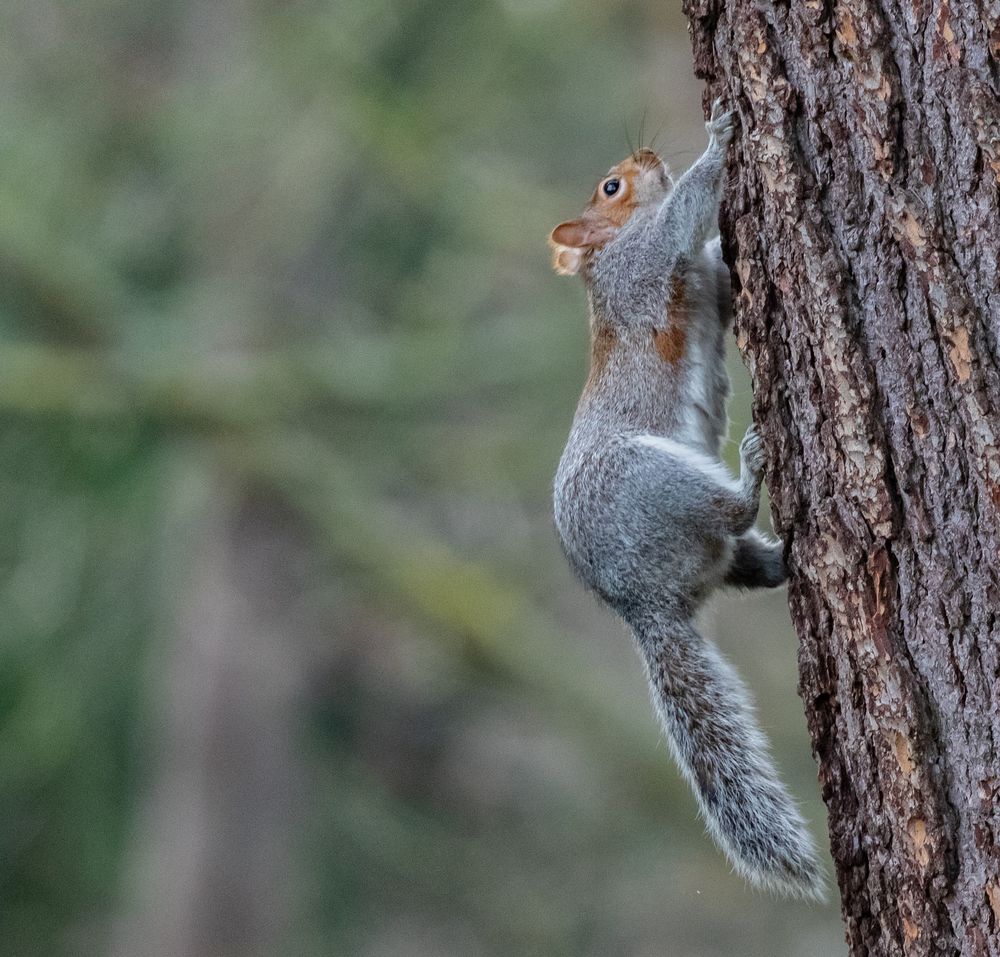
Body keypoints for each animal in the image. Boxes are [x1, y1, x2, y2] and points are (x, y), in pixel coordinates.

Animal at [548, 101, 824, 899]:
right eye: (611, 187)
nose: (645, 156)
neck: (607, 258)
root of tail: (639, 604)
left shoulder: (707, 281)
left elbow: (724, 277)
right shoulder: (648, 260)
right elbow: (681, 216)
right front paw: (722, 137)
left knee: (740, 559)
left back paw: (781, 559)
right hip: (654, 482)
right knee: (728, 514)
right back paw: (756, 466)